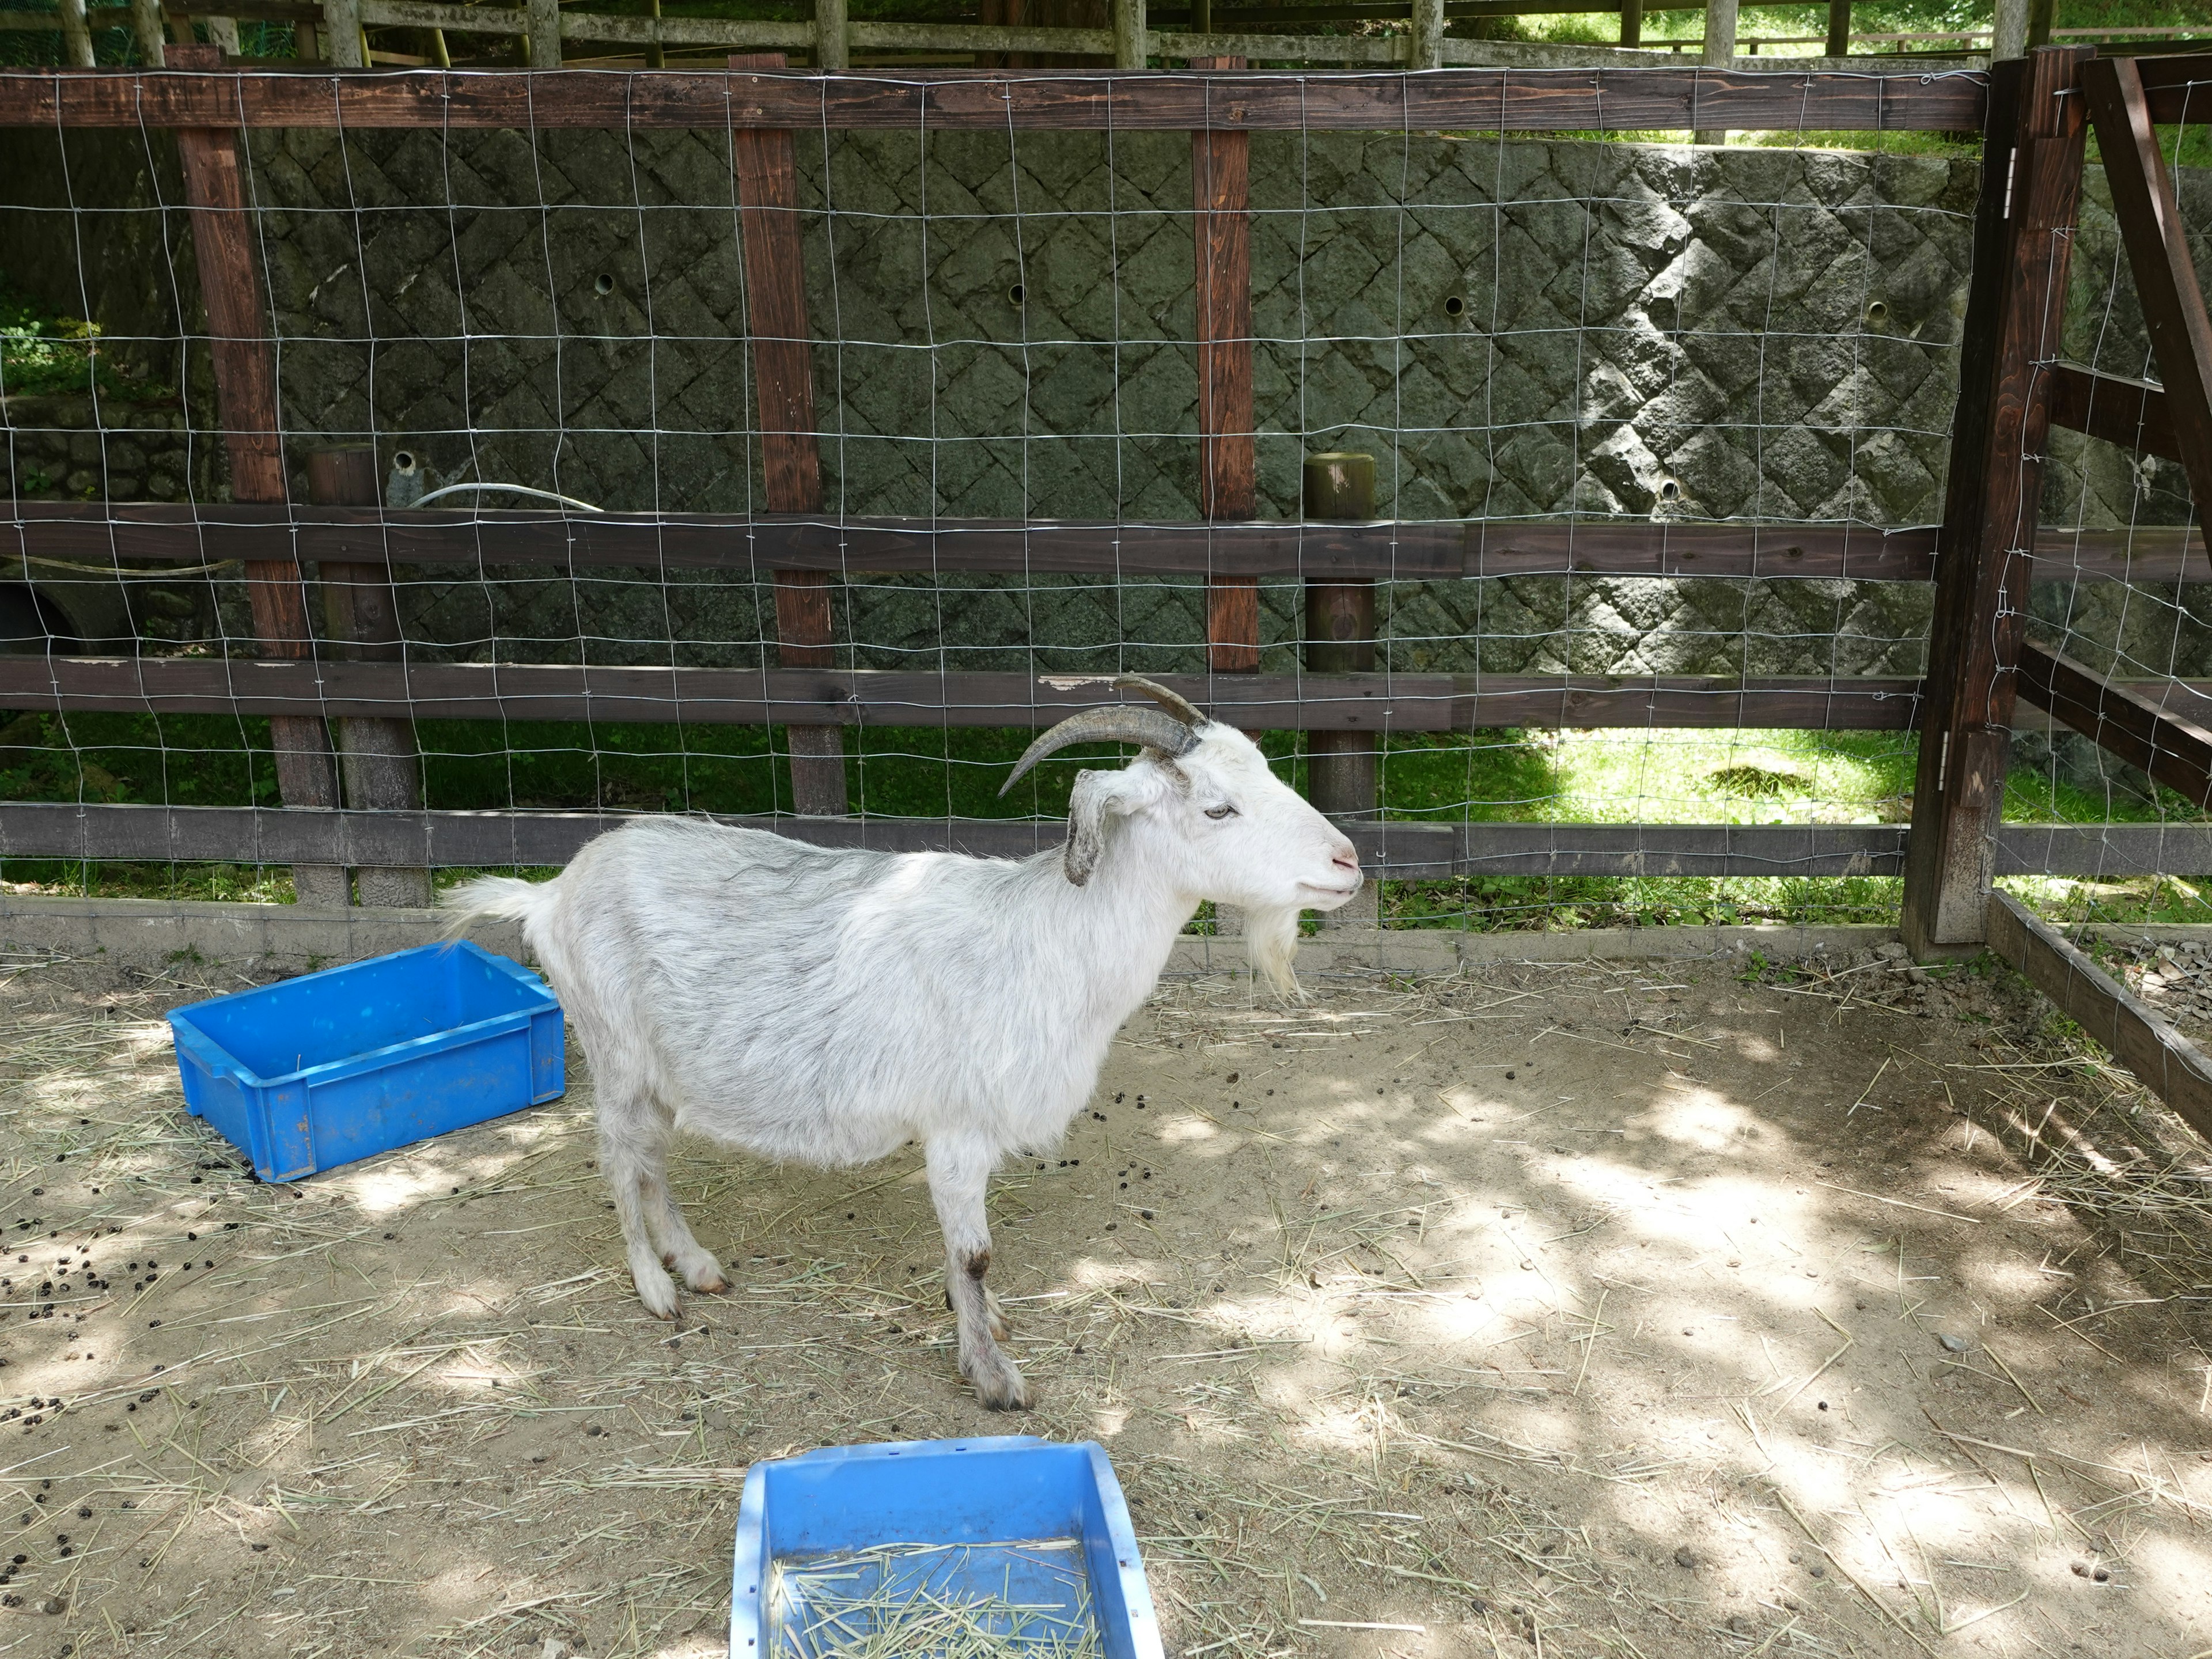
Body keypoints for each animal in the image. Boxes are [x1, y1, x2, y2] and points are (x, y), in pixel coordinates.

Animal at [442, 681, 1354, 1407]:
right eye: (1217, 807)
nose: (1348, 862)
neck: (1045, 941)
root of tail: (550, 894)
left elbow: (968, 1261)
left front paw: (988, 1329)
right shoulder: (957, 1130)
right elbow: (975, 1254)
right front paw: (994, 1379)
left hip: (662, 1072)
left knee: (651, 1161)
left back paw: (696, 1265)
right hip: (615, 1055)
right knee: (618, 1162)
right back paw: (654, 1288)